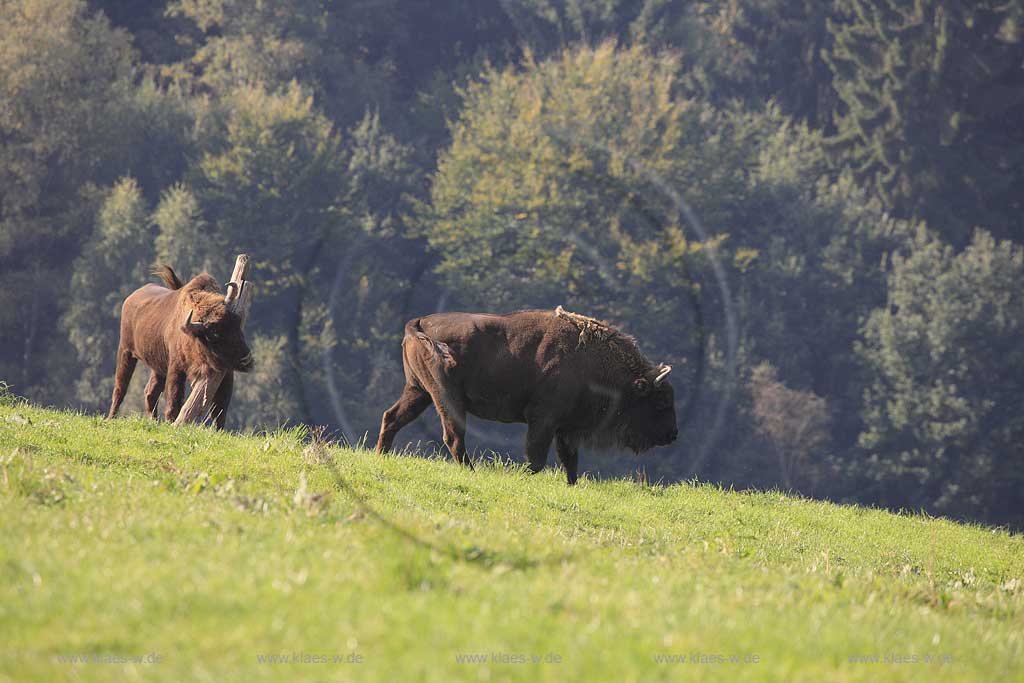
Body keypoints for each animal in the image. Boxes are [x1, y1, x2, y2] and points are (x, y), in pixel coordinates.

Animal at [107, 266, 254, 428]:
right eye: (215, 333)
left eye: (237, 321)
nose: (246, 358)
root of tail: (130, 299)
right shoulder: (176, 368)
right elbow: (174, 399)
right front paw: (172, 423)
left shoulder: (226, 373)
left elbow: (220, 408)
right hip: (126, 352)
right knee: (120, 389)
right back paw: (111, 418)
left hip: (158, 367)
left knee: (150, 392)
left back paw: (153, 421)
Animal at [376, 307, 679, 483]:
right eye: (661, 401)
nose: (673, 434)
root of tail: (419, 322)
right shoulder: (544, 421)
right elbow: (537, 458)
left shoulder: (564, 429)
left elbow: (569, 461)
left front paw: (572, 485)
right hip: (446, 397)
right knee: (453, 437)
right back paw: (471, 472)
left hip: (419, 391)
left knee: (392, 417)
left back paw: (381, 455)